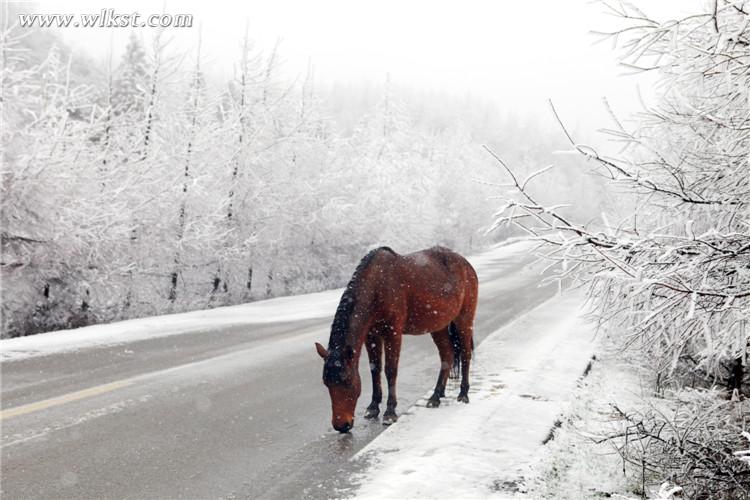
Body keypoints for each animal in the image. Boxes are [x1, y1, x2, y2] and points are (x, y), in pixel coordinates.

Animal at [314, 247, 478, 434]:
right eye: (326, 383)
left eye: (347, 381)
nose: (341, 425)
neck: (377, 285)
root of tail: (466, 265)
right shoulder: (371, 335)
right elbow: (375, 369)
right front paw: (373, 407)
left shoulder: (393, 333)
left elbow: (390, 370)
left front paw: (390, 412)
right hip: (439, 326)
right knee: (447, 355)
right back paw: (436, 396)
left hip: (464, 320)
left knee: (465, 354)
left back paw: (463, 394)